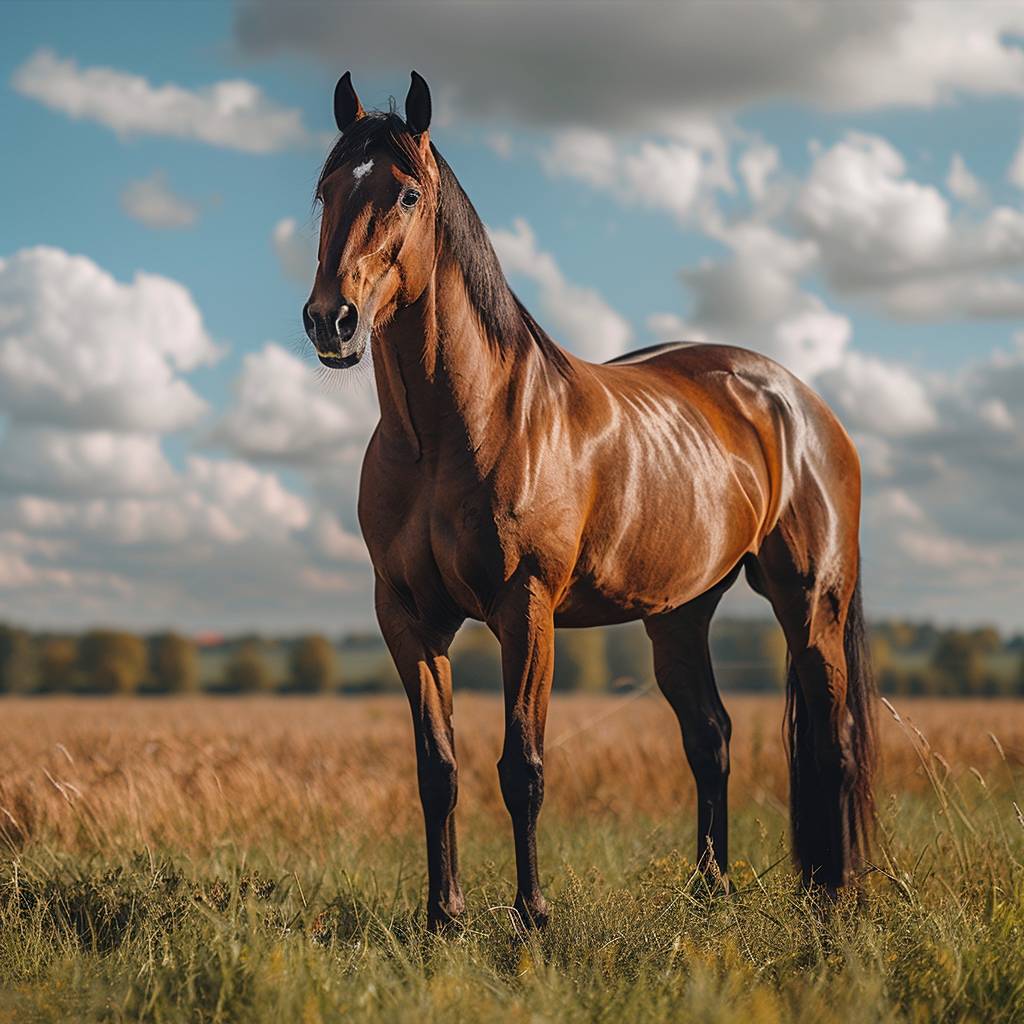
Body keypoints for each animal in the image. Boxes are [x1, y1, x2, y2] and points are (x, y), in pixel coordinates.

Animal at [299, 72, 876, 933]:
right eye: (326, 190)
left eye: (406, 194)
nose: (330, 321)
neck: (452, 431)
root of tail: (799, 403)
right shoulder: (406, 617)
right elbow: (437, 770)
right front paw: (443, 918)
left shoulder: (525, 607)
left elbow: (522, 767)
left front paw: (533, 916)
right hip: (680, 615)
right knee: (711, 737)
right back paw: (711, 889)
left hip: (812, 603)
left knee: (832, 741)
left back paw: (832, 898)